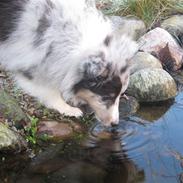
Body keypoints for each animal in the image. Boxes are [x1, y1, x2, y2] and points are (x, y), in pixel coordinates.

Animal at [0, 0, 137, 126]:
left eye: (121, 94)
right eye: (107, 97)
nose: (115, 124)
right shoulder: (29, 60)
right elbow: (48, 90)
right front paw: (70, 110)